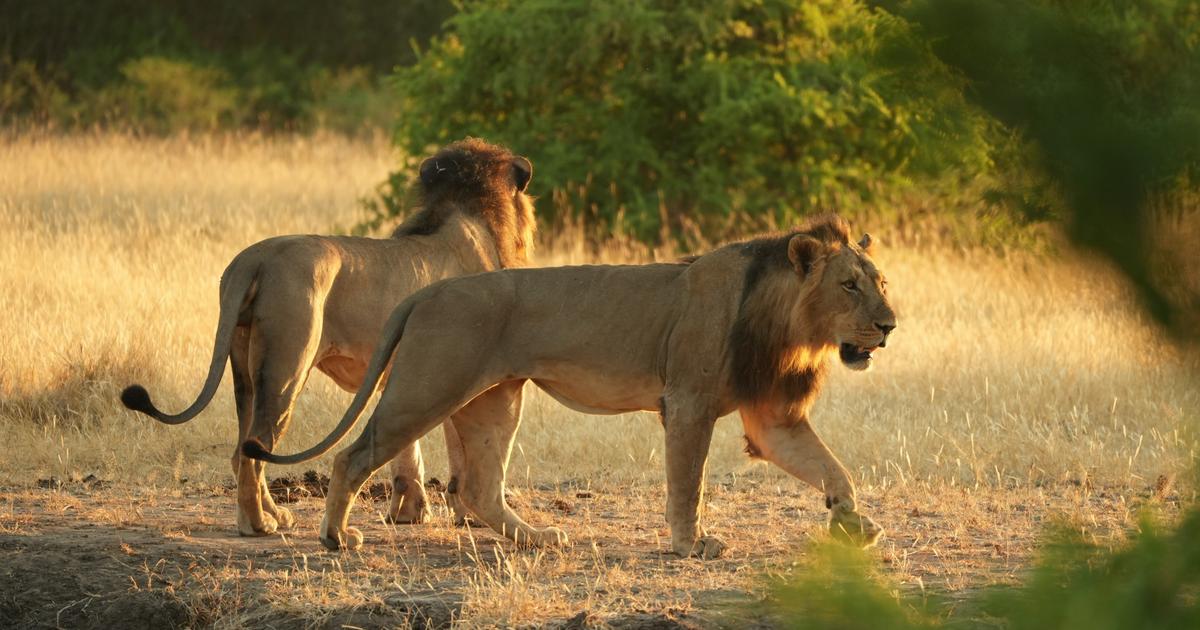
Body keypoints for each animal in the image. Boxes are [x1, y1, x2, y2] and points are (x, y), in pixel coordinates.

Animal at [120, 137, 535, 535]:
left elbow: (408, 452)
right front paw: (464, 514)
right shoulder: (458, 367)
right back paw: (257, 524)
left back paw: (276, 514)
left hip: (244, 368)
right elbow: (458, 451)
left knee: (244, 448)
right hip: (287, 366)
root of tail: (255, 258)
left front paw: (408, 512)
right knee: (253, 450)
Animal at [246, 214, 902, 554]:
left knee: (479, 489)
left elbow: (833, 469)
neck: (789, 325)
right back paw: (337, 536)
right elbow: (687, 484)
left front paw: (855, 524)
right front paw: (690, 544)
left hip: (495, 401)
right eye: (848, 285)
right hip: (427, 389)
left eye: (881, 282)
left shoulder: (772, 418)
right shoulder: (688, 404)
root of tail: (427, 292)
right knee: (354, 455)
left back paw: (538, 538)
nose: (889, 326)